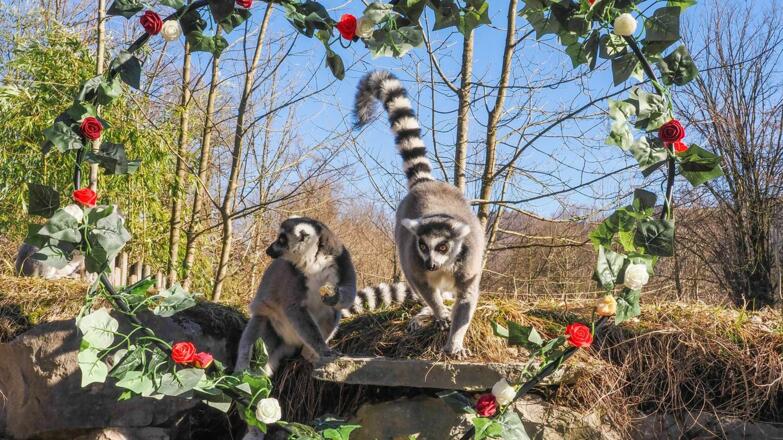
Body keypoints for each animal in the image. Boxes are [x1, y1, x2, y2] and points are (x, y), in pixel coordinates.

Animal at [234, 216, 357, 376]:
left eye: (281, 239)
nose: (268, 250)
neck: (314, 262)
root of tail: (291, 343)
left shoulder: (341, 258)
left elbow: (350, 291)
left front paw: (335, 297)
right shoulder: (292, 274)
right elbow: (294, 308)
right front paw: (322, 349)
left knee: (333, 313)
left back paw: (309, 353)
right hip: (271, 325)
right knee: (255, 336)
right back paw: (242, 370)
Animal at [353, 71, 486, 357]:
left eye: (443, 247)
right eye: (423, 246)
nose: (431, 264)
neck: (445, 266)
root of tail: (427, 185)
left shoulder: (467, 264)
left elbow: (466, 300)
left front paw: (454, 342)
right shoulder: (413, 260)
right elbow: (424, 287)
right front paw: (440, 314)